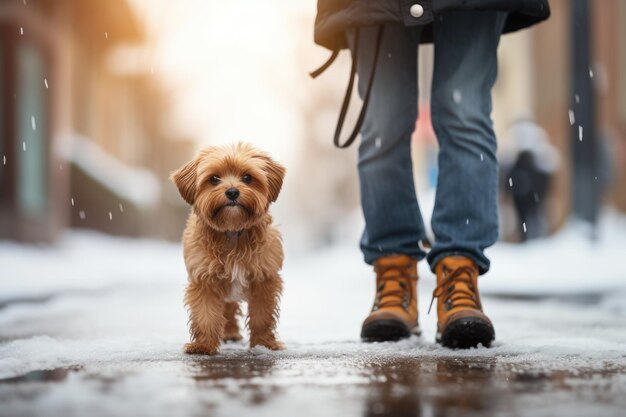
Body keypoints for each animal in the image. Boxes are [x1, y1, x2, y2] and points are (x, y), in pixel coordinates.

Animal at [169, 141, 284, 352]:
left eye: (247, 178)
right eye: (214, 179)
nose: (232, 192)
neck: (232, 231)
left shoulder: (264, 279)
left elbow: (262, 315)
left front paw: (263, 344)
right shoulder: (204, 279)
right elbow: (205, 315)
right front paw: (203, 345)